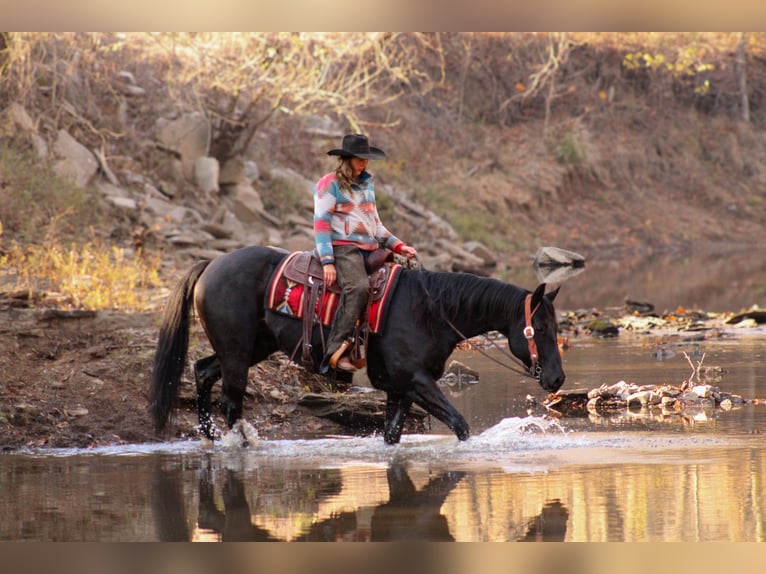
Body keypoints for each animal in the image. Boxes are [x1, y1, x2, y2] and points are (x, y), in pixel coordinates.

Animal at [150, 245, 568, 448]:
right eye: (539, 327)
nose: (557, 379)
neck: (430, 310)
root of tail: (211, 264)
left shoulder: (401, 388)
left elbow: (392, 435)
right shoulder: (416, 381)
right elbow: (461, 425)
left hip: (253, 347)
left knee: (203, 372)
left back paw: (210, 436)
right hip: (238, 352)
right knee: (231, 399)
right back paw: (243, 442)